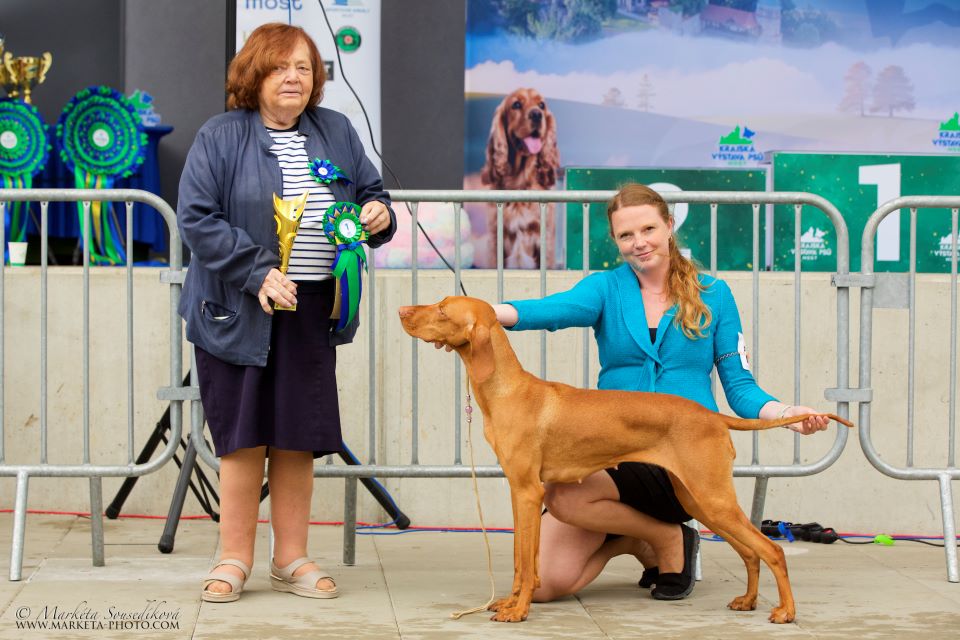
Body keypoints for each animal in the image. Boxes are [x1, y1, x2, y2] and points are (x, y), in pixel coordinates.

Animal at [398, 296, 853, 624]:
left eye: (442, 310)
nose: (403, 311)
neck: (508, 390)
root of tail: (710, 415)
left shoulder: (528, 491)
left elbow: (526, 563)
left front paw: (519, 609)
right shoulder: (516, 493)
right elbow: (518, 558)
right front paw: (508, 602)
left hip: (712, 496)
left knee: (770, 550)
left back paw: (787, 611)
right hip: (699, 499)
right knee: (750, 552)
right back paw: (747, 600)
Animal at [479, 88, 561, 269]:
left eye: (541, 105)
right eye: (516, 104)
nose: (537, 115)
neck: (520, 182)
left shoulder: (544, 239)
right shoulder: (496, 239)